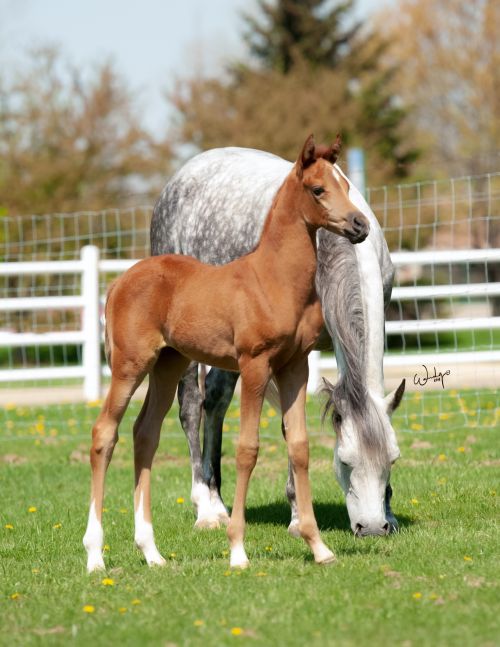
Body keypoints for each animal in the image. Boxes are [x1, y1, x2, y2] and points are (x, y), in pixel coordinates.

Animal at [83, 134, 370, 572]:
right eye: (318, 189)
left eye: (346, 186)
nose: (360, 226)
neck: (273, 279)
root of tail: (118, 283)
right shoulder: (255, 364)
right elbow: (247, 449)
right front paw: (237, 549)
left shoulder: (294, 367)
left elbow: (299, 447)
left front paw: (318, 546)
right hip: (129, 366)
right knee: (105, 434)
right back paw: (95, 555)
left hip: (167, 364)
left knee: (144, 434)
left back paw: (151, 552)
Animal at [150, 142, 406, 538]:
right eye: (345, 461)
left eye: (392, 460)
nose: (373, 528)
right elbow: (290, 427)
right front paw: (299, 517)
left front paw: (390, 512)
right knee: (191, 406)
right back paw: (206, 509)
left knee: (216, 401)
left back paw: (219, 499)